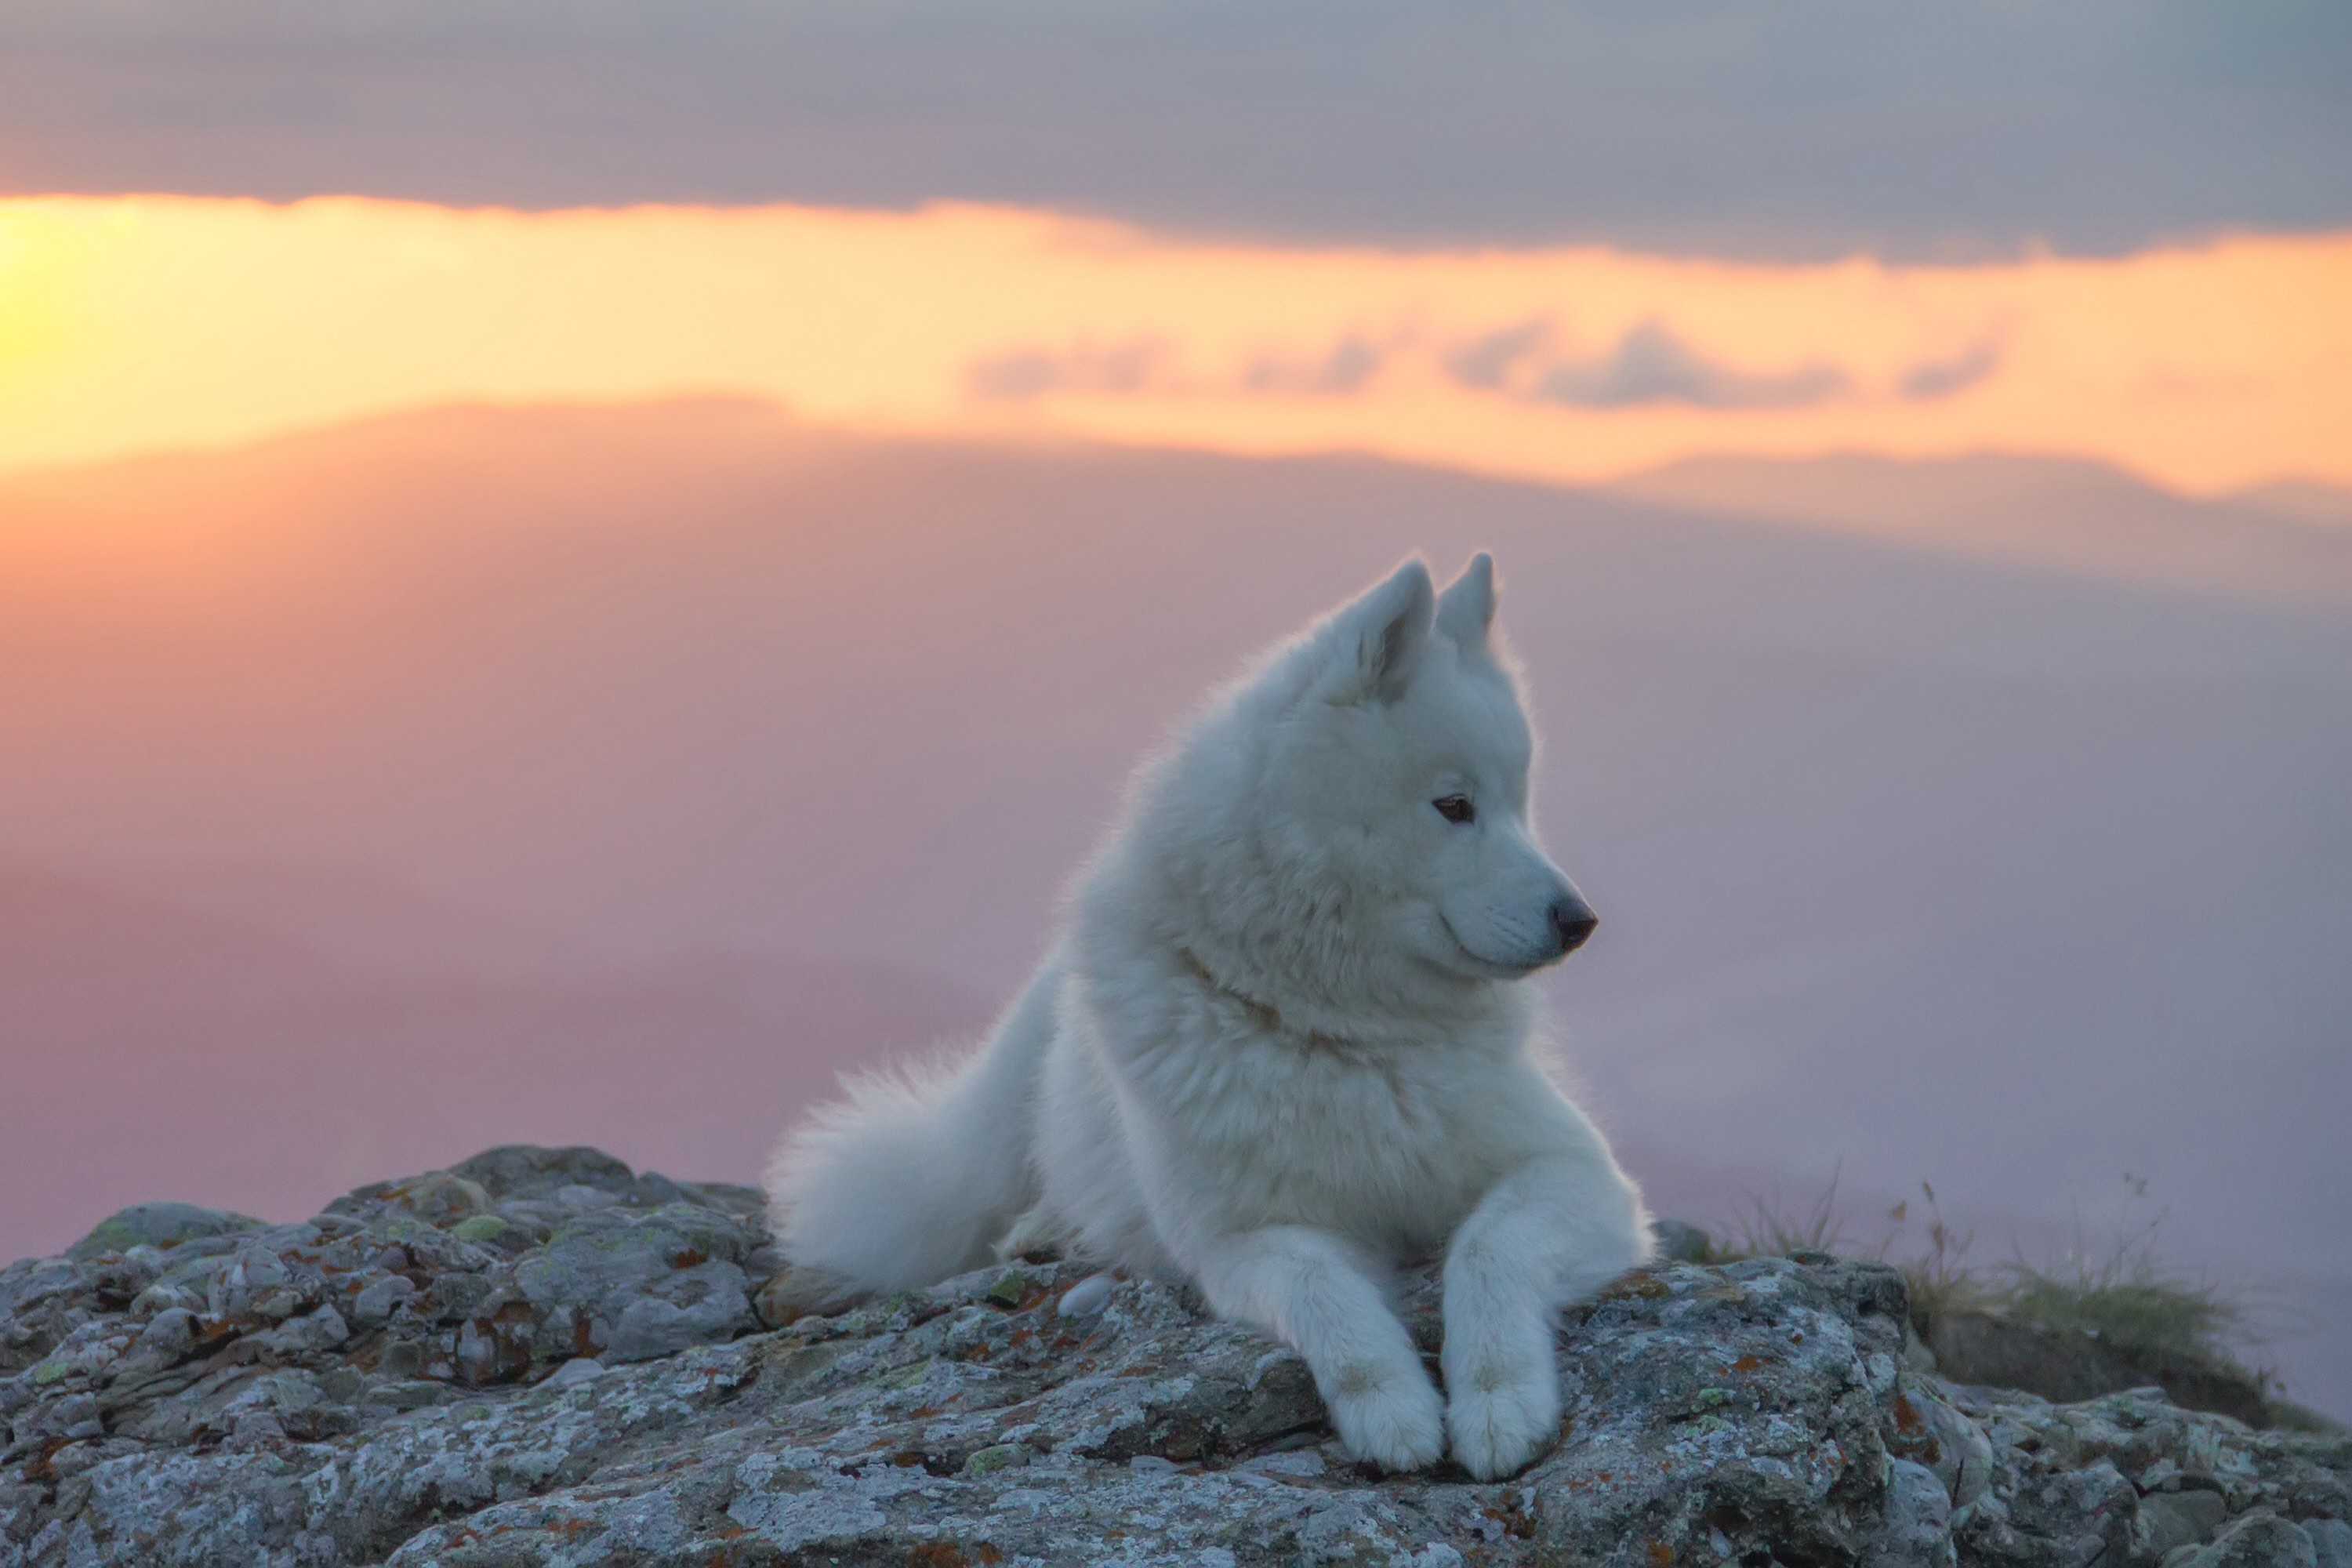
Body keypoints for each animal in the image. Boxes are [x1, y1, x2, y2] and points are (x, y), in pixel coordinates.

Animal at [771, 554, 1656, 1486]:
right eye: (1454, 805)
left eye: (1520, 803)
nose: (1580, 920)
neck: (1348, 1034)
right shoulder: (1245, 1235)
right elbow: (1326, 1296)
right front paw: (1393, 1406)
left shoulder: (1572, 1169)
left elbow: (1489, 1247)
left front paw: (1498, 1396)